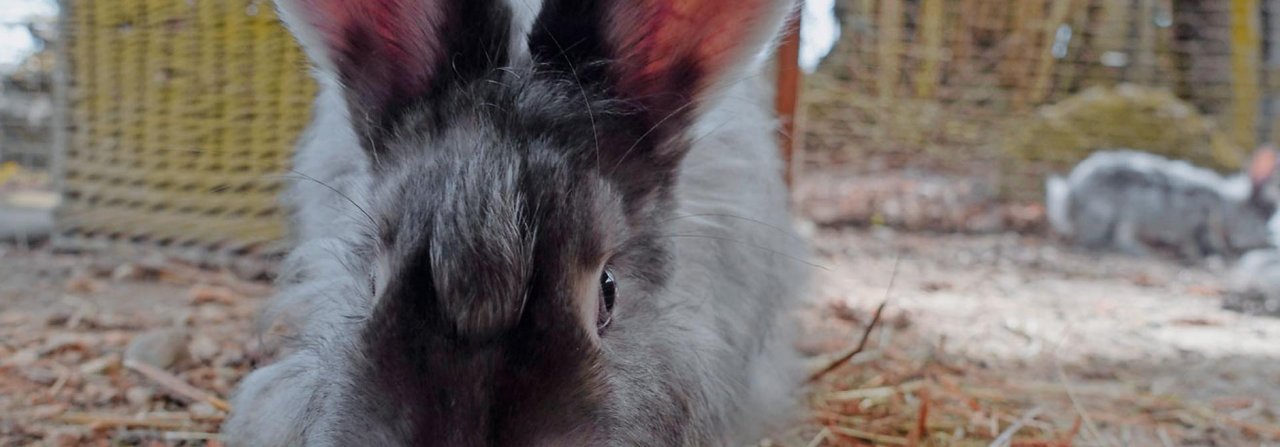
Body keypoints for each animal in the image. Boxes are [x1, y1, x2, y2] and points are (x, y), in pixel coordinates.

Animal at [1044, 147, 1274, 257]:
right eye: (1263, 215)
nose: (1269, 240)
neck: (1226, 205)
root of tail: (1071, 198)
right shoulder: (1200, 223)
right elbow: (1203, 241)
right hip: (1122, 215)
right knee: (1116, 238)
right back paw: (1137, 251)